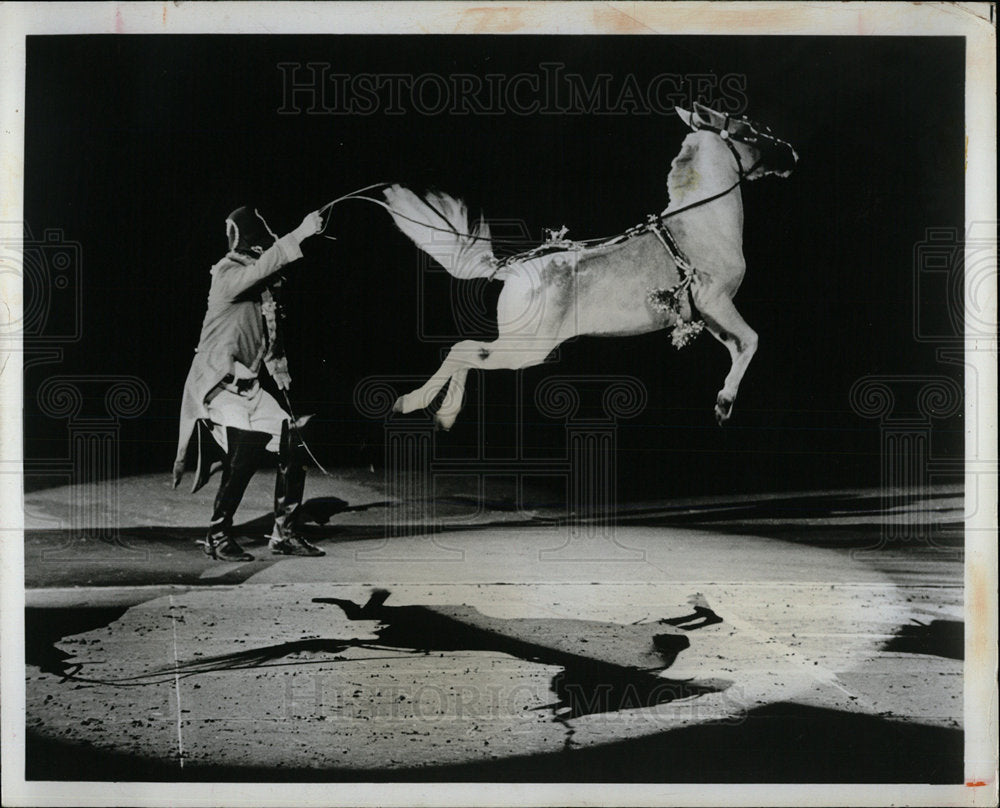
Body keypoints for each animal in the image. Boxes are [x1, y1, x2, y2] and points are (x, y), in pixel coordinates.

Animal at [382, 105, 796, 432]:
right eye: (750, 129)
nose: (791, 152)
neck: (702, 222)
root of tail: (511, 270)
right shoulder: (716, 301)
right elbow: (752, 340)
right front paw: (724, 405)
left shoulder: (707, 315)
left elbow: (739, 346)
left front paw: (723, 402)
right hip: (528, 347)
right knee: (464, 350)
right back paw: (412, 402)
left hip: (520, 343)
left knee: (469, 355)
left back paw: (445, 415)